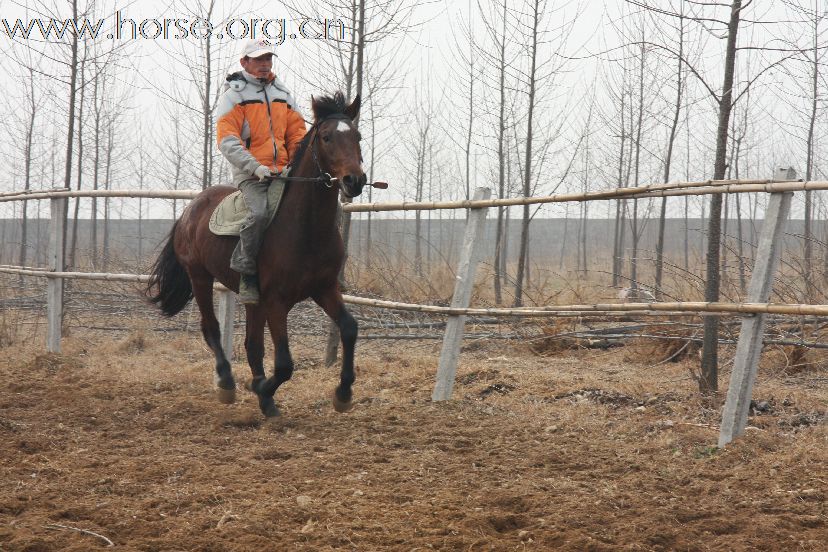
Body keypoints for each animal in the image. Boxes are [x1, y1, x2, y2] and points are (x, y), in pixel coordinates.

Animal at [148, 92, 366, 416]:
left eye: (357, 136)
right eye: (327, 137)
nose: (355, 180)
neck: (306, 229)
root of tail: (192, 206)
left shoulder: (325, 289)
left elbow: (349, 328)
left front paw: (343, 393)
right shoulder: (277, 301)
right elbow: (285, 363)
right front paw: (261, 389)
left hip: (251, 297)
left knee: (252, 344)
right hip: (200, 278)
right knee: (211, 329)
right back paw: (228, 384)